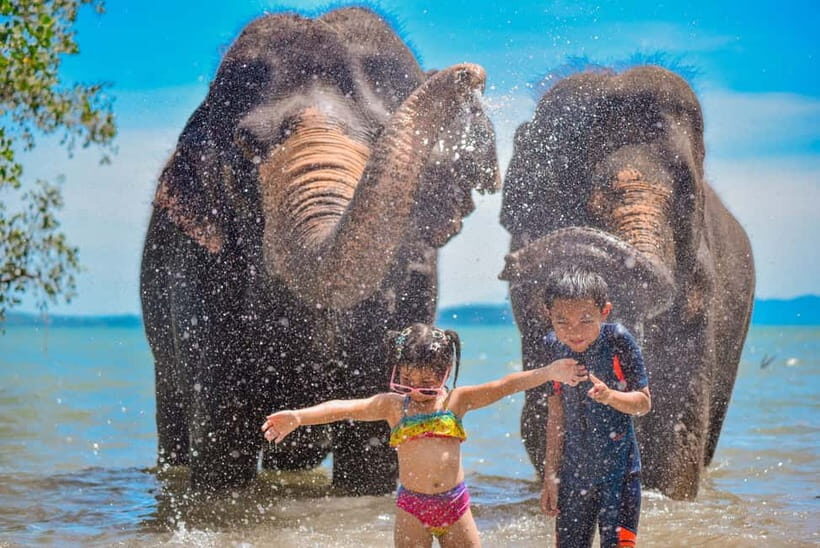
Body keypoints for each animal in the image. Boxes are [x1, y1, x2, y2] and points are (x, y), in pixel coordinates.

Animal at [140, 7, 499, 494]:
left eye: (380, 133)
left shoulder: (413, 278)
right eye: (246, 145)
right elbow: (221, 441)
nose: (471, 74)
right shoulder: (198, 277)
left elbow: (371, 447)